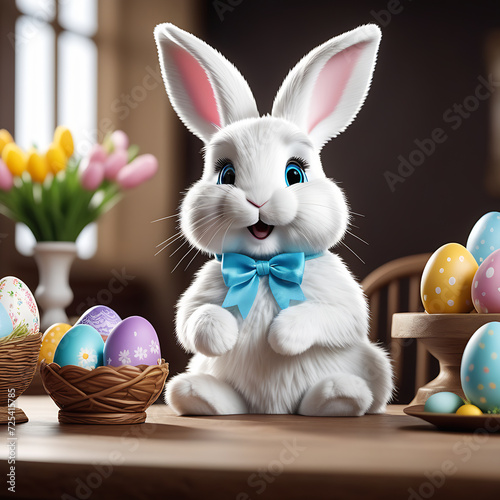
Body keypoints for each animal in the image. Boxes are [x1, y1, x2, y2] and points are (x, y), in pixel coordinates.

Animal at [154, 22, 392, 414]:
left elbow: (339, 317)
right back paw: (203, 397)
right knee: (195, 391)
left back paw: (337, 396)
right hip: (201, 374)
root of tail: (271, 410)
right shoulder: (204, 289)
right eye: (227, 174)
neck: (264, 268)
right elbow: (191, 318)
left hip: (376, 362)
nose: (258, 199)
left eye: (295, 173)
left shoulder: (342, 299)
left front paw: (282, 335)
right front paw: (221, 335)